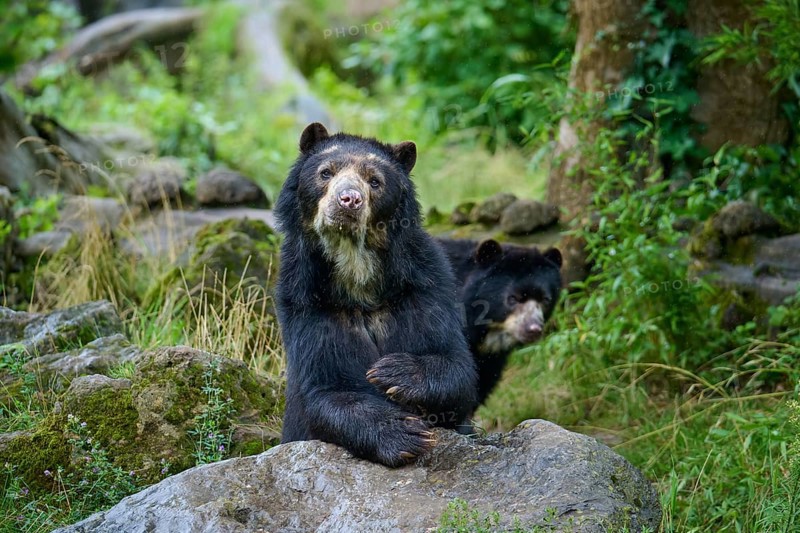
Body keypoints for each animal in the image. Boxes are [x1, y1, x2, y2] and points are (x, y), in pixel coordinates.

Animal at [275, 123, 478, 467]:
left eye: (375, 181)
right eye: (326, 172)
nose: (348, 200)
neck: (357, 275)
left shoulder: (424, 284)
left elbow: (458, 368)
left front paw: (392, 372)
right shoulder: (307, 300)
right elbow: (326, 389)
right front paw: (404, 434)